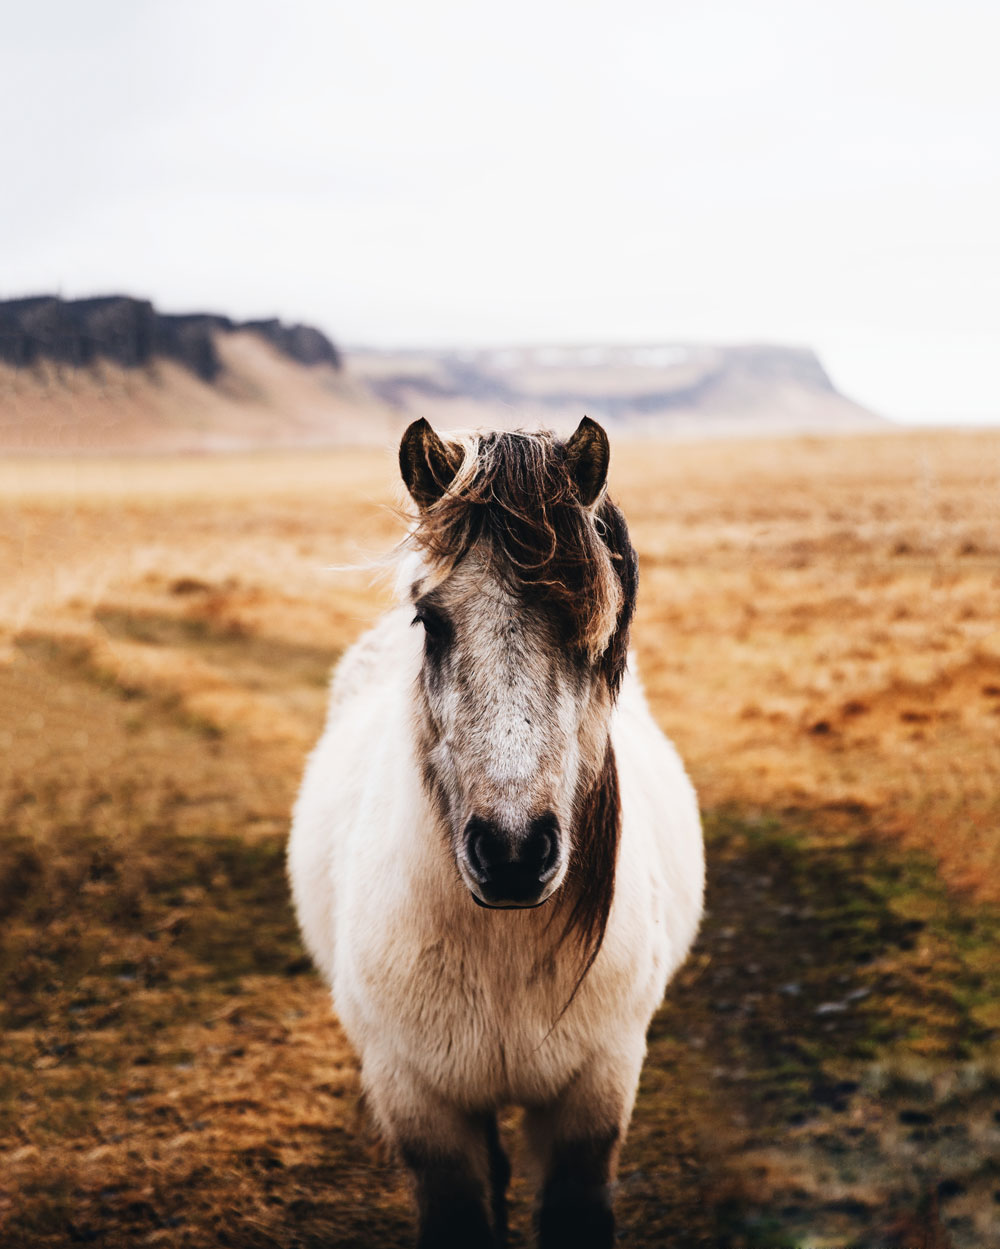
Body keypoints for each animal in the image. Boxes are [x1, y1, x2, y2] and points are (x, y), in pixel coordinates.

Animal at [287, 419, 704, 1249]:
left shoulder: (595, 1093)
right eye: (430, 620)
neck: (503, 952)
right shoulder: (421, 1100)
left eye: (588, 625)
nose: (512, 854)